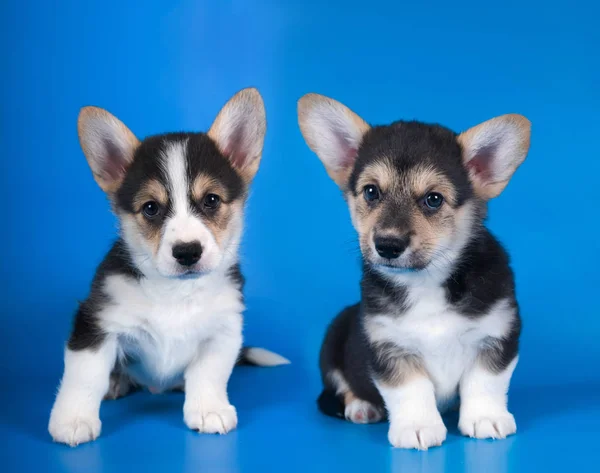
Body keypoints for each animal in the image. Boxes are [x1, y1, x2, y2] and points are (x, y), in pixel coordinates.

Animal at [48, 88, 288, 446]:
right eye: (151, 208)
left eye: (212, 200)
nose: (187, 252)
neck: (176, 292)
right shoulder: (96, 322)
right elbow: (85, 376)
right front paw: (74, 419)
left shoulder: (223, 331)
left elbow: (209, 373)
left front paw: (208, 409)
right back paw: (116, 383)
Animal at [298, 93, 532, 450]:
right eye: (371, 192)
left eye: (433, 199)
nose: (387, 245)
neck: (426, 281)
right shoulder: (389, 345)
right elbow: (410, 390)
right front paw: (418, 426)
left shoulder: (496, 334)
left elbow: (485, 382)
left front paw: (485, 418)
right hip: (334, 338)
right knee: (341, 384)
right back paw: (361, 406)